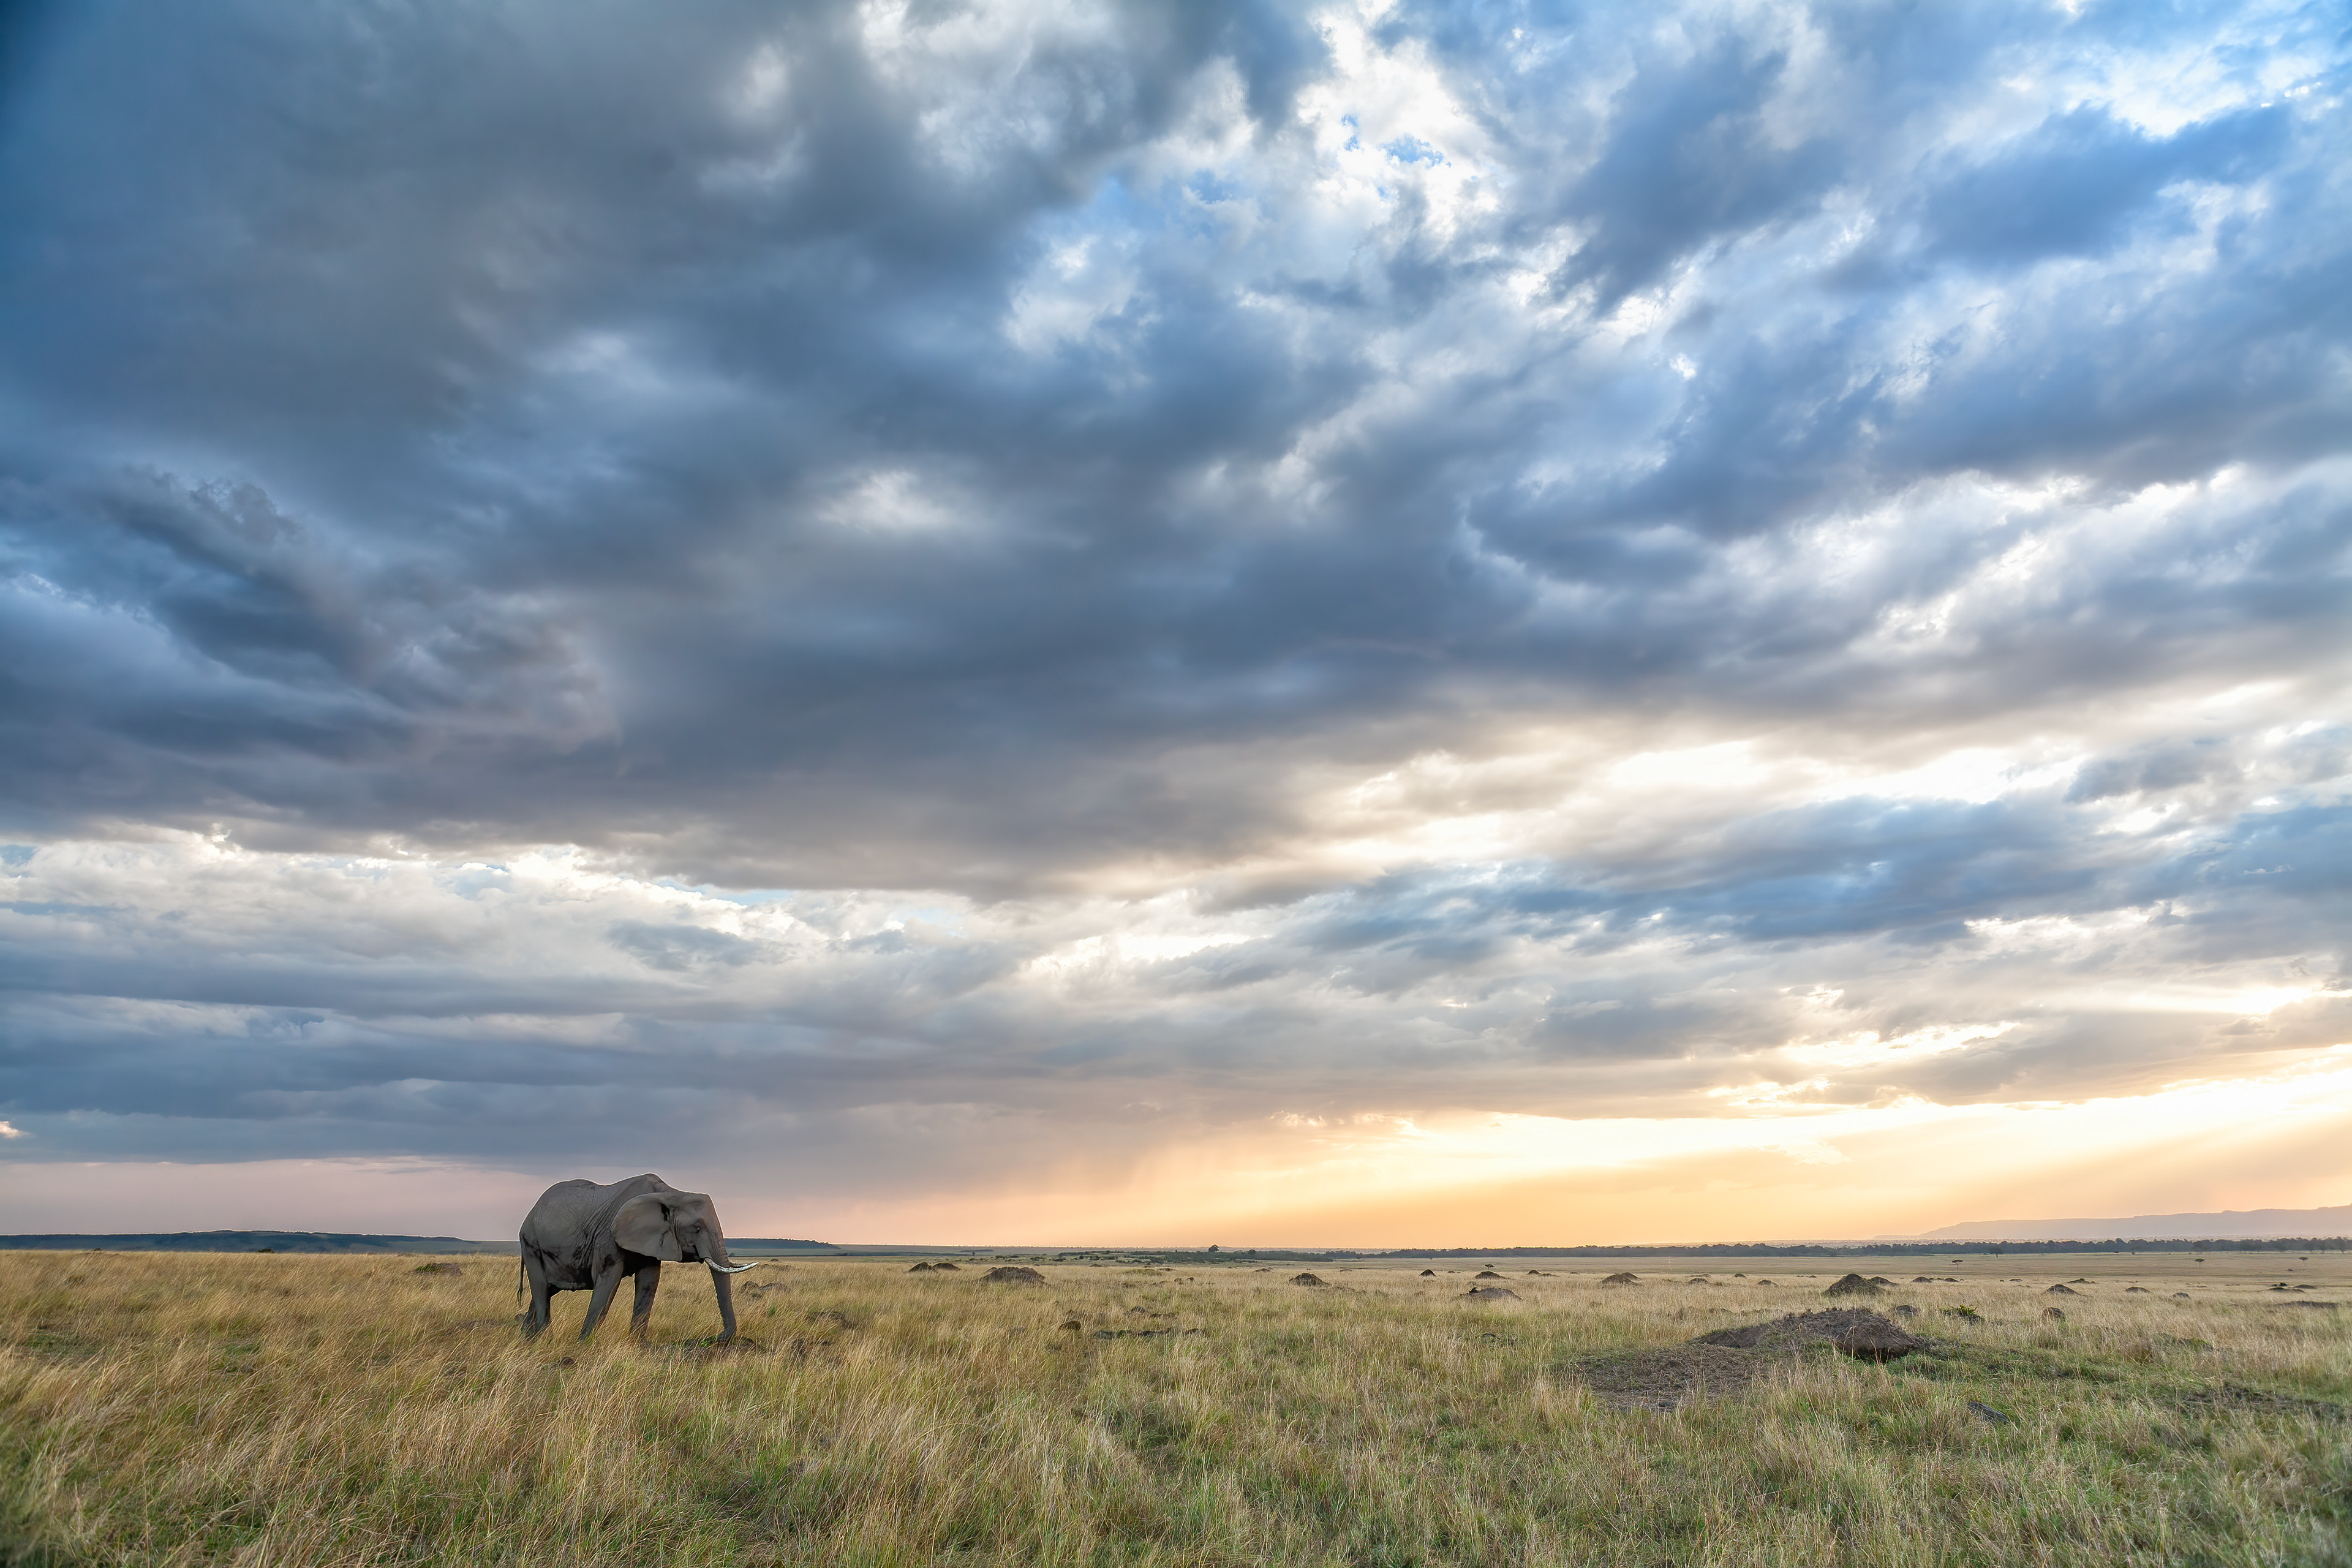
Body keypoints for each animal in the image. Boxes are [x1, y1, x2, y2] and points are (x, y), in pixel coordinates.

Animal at [517, 1174, 761, 1342]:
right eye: (697, 1227)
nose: (716, 1337)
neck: (672, 1193)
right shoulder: (608, 1235)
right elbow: (608, 1282)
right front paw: (583, 1344)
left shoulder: (653, 1239)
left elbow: (649, 1282)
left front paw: (637, 1345)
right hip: (530, 1243)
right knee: (540, 1287)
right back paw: (543, 1338)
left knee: (547, 1290)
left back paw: (527, 1337)